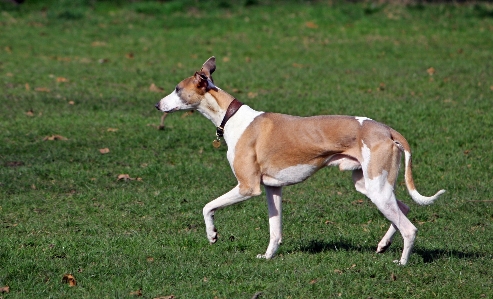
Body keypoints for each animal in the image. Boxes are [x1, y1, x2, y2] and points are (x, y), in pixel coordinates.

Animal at [155, 57, 446, 266]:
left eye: (177, 89)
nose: (157, 105)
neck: (232, 116)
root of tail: (387, 130)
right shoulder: (272, 188)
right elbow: (275, 230)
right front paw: (268, 257)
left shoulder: (248, 187)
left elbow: (207, 207)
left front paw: (212, 234)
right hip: (369, 185)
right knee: (404, 208)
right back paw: (384, 245)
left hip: (377, 188)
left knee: (409, 228)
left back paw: (402, 263)